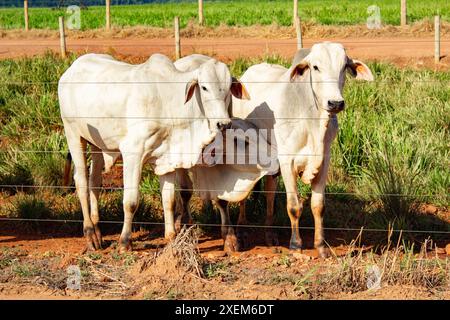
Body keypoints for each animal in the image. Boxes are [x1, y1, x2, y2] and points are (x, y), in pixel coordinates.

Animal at [57, 53, 248, 252]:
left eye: (229, 88)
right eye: (204, 87)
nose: (223, 124)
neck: (168, 102)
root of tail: (72, 68)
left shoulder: (167, 159)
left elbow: (169, 201)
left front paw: (172, 240)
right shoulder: (133, 153)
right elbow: (131, 202)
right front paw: (125, 242)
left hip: (96, 144)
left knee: (94, 181)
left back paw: (97, 230)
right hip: (73, 134)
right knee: (81, 182)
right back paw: (90, 234)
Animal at [172, 43, 372, 258]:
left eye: (344, 67)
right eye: (316, 67)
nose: (335, 103)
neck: (311, 118)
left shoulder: (324, 161)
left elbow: (318, 206)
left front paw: (321, 246)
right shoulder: (287, 162)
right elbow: (293, 207)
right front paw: (295, 245)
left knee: (269, 194)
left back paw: (269, 232)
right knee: (243, 197)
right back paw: (242, 226)